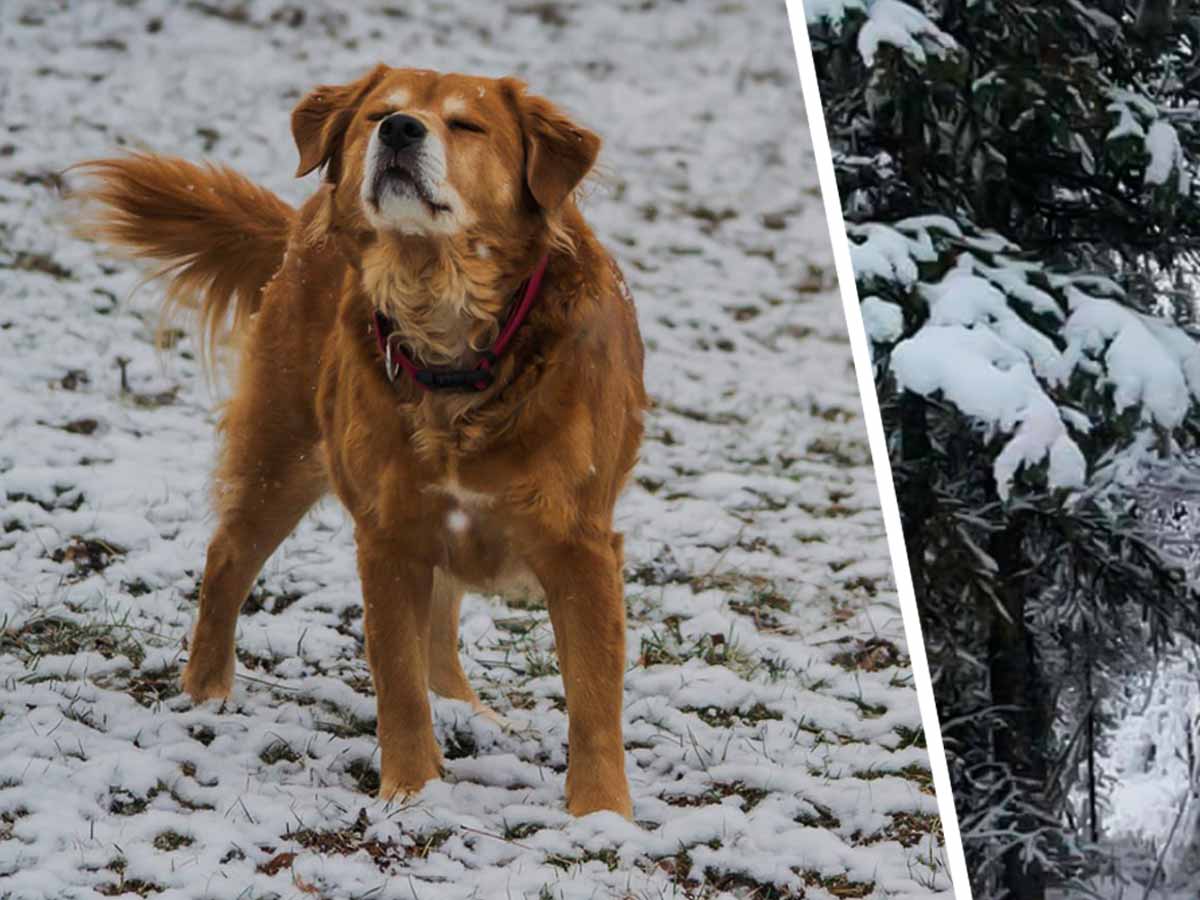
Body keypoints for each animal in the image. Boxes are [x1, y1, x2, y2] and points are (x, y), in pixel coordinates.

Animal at [75, 66, 648, 820]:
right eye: (382, 112)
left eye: (466, 125)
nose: (401, 130)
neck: (448, 330)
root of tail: (300, 229)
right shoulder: (388, 535)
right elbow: (397, 679)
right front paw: (412, 792)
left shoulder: (581, 544)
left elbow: (593, 697)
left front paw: (601, 817)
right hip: (283, 453)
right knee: (227, 560)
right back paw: (207, 691)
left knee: (441, 625)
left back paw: (468, 711)